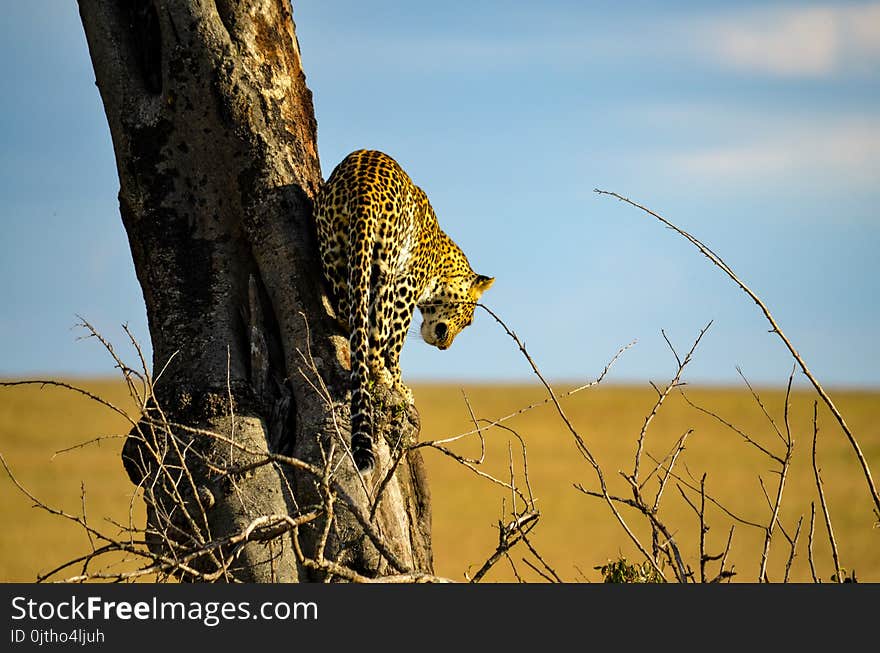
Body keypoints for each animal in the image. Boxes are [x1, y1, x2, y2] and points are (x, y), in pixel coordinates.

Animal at [314, 150, 496, 472]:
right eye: (469, 321)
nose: (445, 347)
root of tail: (363, 188)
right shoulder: (407, 285)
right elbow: (393, 342)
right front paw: (401, 385)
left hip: (334, 251)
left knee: (350, 313)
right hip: (386, 268)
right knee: (375, 339)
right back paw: (385, 378)